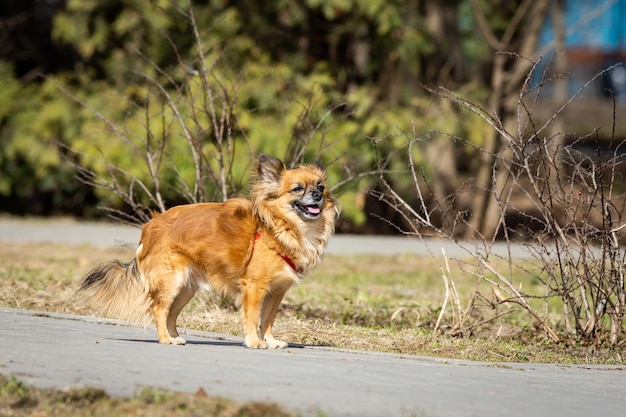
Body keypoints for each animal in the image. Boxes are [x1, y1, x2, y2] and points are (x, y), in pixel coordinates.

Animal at [81, 154, 336, 348]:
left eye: (320, 186)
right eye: (297, 189)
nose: (317, 195)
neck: (282, 228)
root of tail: (151, 225)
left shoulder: (276, 291)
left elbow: (268, 319)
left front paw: (271, 341)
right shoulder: (255, 287)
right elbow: (254, 317)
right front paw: (255, 342)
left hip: (186, 289)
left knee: (171, 313)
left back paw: (175, 337)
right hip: (171, 282)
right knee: (159, 309)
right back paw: (165, 339)